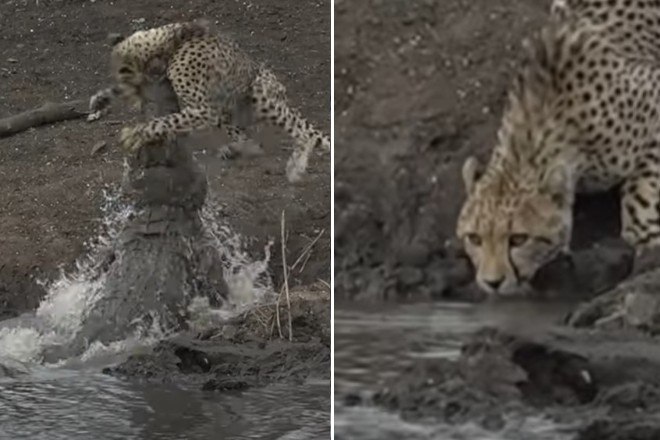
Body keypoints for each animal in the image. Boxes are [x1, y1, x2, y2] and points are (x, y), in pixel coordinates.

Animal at [90, 20, 330, 182]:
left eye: (122, 73)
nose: (134, 98)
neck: (170, 43)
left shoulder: (203, 110)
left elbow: (164, 121)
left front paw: (136, 133)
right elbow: (170, 118)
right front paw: (101, 100)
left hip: (261, 94)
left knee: (301, 132)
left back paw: (296, 167)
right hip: (227, 112)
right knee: (252, 143)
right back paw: (233, 149)